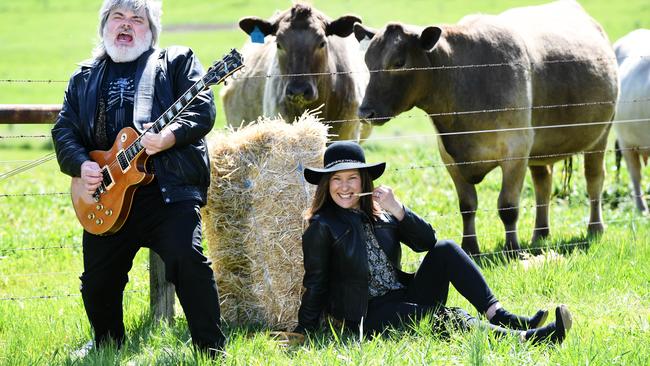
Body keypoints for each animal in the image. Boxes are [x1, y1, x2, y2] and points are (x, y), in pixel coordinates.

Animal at [352, 0, 616, 253]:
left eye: (398, 63)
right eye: (367, 62)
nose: (365, 112)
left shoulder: (516, 150)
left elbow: (508, 206)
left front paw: (512, 249)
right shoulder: (450, 157)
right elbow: (467, 206)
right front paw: (470, 247)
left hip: (601, 134)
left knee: (594, 179)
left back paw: (595, 228)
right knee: (543, 184)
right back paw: (540, 233)